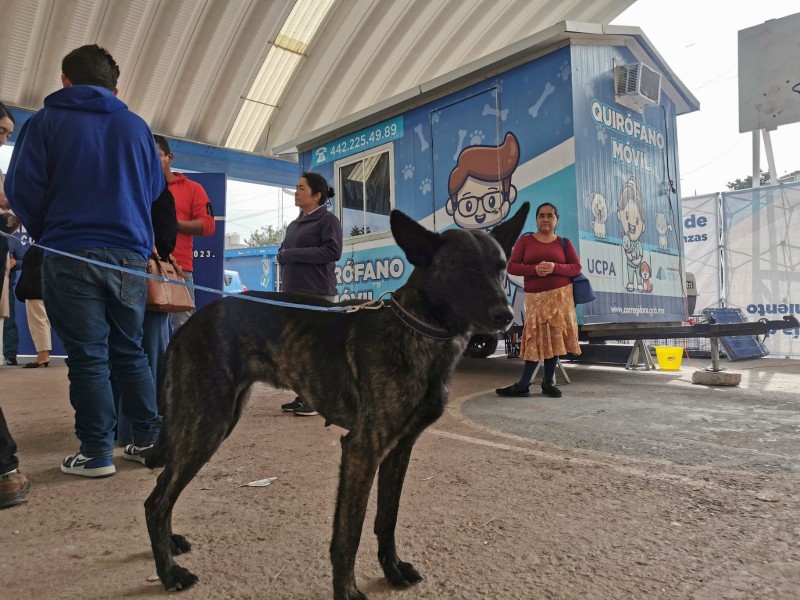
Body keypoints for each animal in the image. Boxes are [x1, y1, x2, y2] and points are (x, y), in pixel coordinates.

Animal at [144, 204, 532, 596]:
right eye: (460, 266)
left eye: (501, 267)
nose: (505, 316)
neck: (416, 328)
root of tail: (189, 323)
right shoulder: (362, 448)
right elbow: (350, 531)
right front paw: (346, 590)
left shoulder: (399, 449)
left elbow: (386, 519)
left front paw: (392, 569)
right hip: (208, 424)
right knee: (156, 501)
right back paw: (169, 573)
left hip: (212, 421)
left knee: (162, 486)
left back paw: (171, 544)